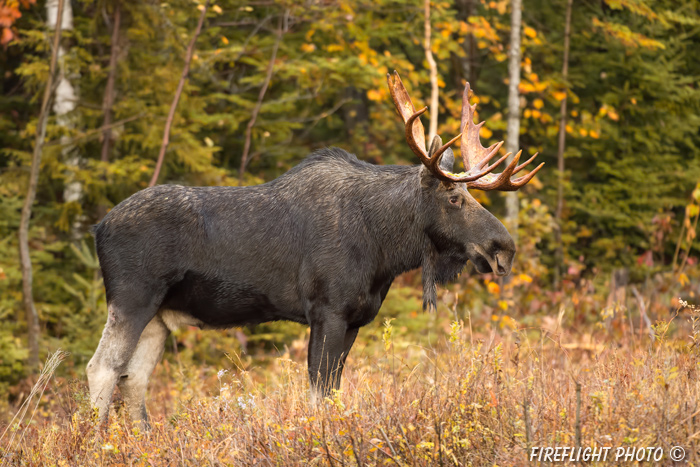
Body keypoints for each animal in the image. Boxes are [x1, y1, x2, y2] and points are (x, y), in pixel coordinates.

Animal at [87, 72, 544, 428]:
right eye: (454, 198)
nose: (504, 249)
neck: (384, 248)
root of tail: (98, 227)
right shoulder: (327, 310)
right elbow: (319, 395)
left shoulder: (355, 319)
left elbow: (333, 394)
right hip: (131, 299)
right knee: (102, 369)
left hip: (160, 317)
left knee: (134, 378)